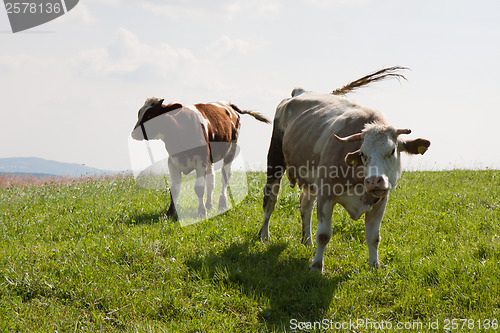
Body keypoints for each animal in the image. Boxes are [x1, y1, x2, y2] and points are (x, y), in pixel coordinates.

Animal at [131, 97, 268, 219]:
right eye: (139, 114)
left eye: (150, 115)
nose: (134, 134)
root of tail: (228, 104)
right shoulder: (173, 162)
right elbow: (174, 189)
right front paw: (171, 212)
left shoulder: (200, 161)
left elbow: (199, 188)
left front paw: (201, 212)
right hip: (210, 158)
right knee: (211, 180)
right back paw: (209, 204)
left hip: (231, 150)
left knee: (225, 176)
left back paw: (222, 204)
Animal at [258, 66, 430, 272]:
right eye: (363, 154)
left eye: (392, 151)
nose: (374, 180)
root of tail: (299, 92)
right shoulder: (326, 194)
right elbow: (324, 234)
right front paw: (316, 266)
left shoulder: (381, 200)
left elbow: (374, 237)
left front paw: (374, 265)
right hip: (275, 159)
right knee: (270, 200)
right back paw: (264, 236)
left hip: (310, 179)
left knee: (305, 205)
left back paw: (306, 240)